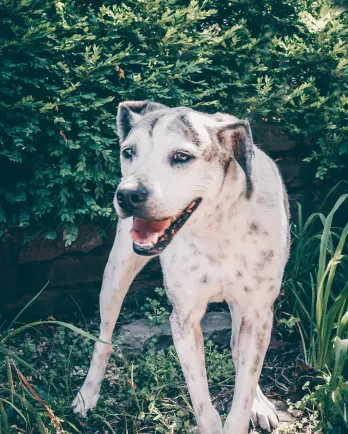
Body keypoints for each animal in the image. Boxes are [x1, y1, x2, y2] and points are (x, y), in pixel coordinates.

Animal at [72, 101, 290, 434]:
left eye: (182, 157)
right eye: (128, 152)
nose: (128, 194)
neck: (216, 229)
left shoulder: (257, 314)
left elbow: (242, 391)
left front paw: (251, 405)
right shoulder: (184, 320)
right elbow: (202, 404)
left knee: (240, 352)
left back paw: (259, 401)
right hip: (115, 276)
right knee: (104, 339)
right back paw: (88, 394)